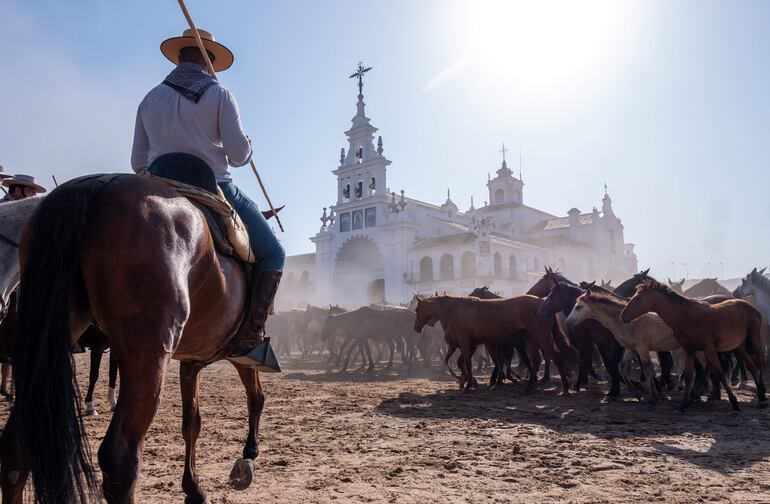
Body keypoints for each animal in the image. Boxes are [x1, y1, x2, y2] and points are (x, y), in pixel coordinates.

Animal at [0, 174, 268, 504]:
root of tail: (99, 184)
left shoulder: (191, 361)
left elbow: (192, 422)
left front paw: (194, 488)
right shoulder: (242, 353)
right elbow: (255, 398)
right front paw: (248, 457)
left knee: (16, 448)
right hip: (149, 357)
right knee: (120, 462)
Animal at [620, 278, 764, 412]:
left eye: (639, 298)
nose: (623, 316)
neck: (686, 316)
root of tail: (749, 306)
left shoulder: (709, 349)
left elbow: (719, 372)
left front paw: (734, 403)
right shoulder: (689, 349)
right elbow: (688, 375)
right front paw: (683, 404)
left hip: (755, 341)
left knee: (759, 363)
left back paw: (762, 397)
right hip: (738, 347)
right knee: (751, 366)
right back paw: (760, 396)